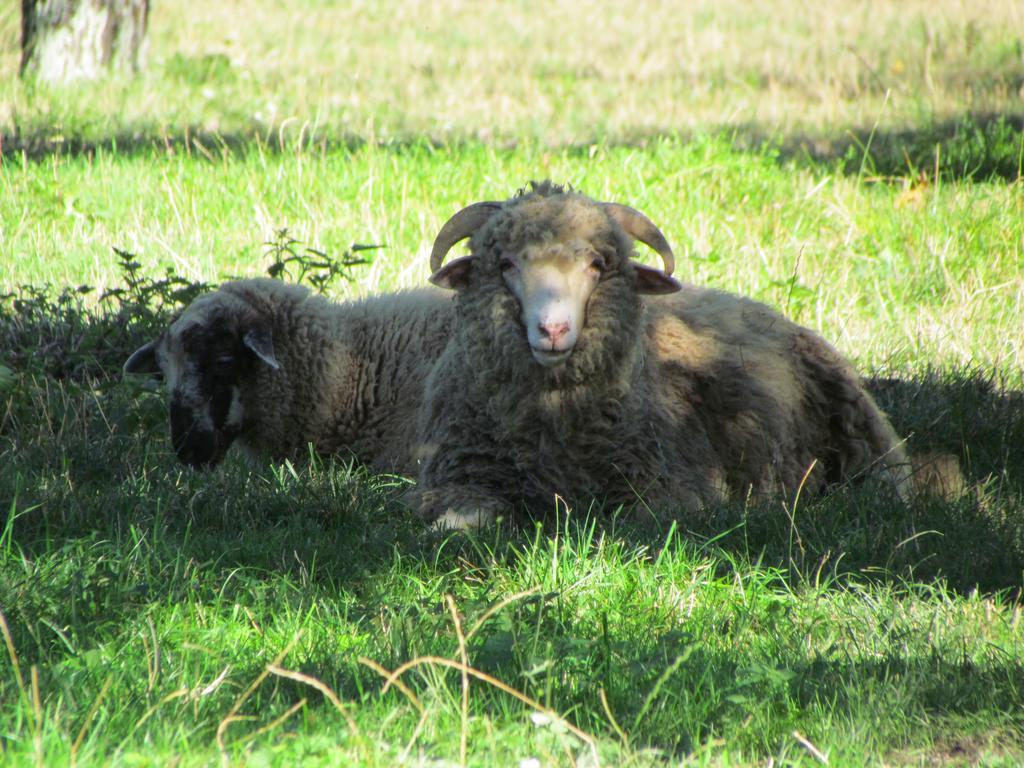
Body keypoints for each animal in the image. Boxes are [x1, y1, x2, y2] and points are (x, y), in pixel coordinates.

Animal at [411, 182, 909, 528]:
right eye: (506, 264)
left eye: (597, 264)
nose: (553, 330)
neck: (555, 426)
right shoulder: (461, 480)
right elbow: (454, 526)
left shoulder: (674, 490)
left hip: (858, 420)